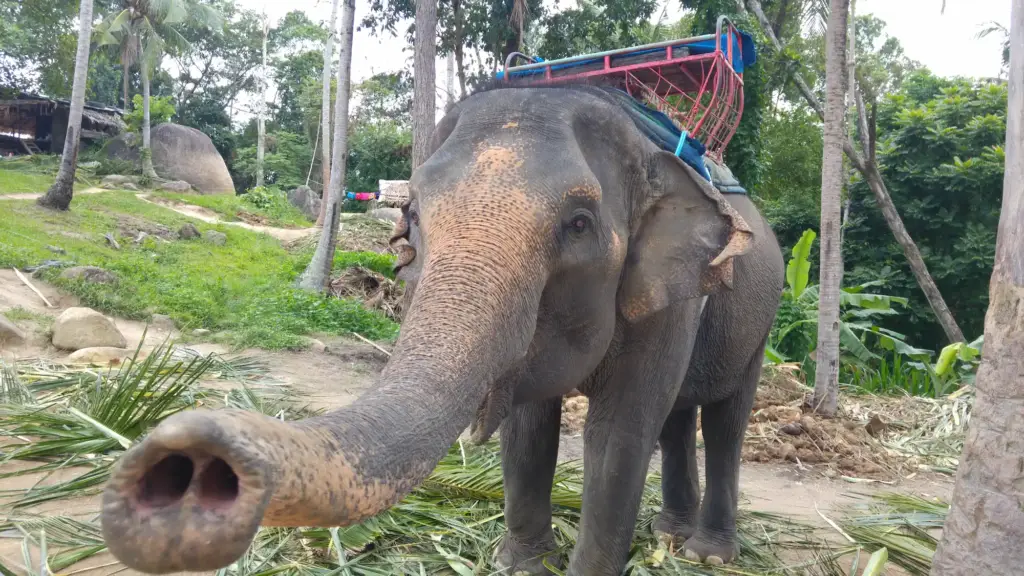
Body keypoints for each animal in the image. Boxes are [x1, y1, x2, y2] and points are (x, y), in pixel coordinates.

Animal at [98, 83, 784, 575]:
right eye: (414, 215)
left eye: (580, 224)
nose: (188, 467)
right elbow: (529, 426)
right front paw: (521, 567)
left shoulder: (671, 295)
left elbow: (621, 429)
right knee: (679, 416)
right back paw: (669, 534)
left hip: (763, 317)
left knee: (723, 420)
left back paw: (707, 553)